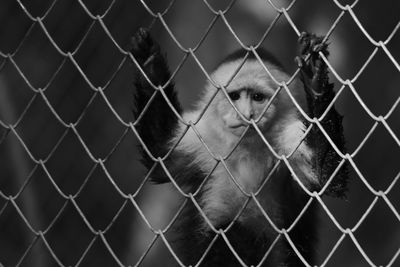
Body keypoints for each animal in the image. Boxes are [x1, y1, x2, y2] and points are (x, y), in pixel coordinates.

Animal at [129, 29, 346, 267]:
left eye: (258, 97)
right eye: (234, 96)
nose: (245, 115)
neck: (247, 147)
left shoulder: (287, 139)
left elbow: (328, 179)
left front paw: (317, 81)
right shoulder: (206, 139)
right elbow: (161, 156)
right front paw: (150, 67)